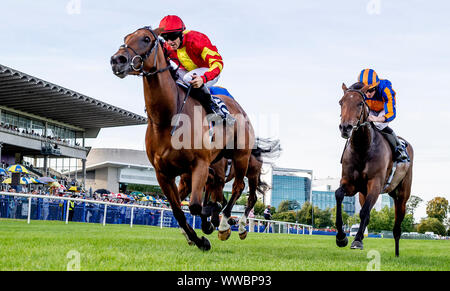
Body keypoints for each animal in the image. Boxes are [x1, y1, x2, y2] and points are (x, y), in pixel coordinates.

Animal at [111, 26, 255, 252]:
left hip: (241, 156)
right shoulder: (164, 173)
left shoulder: (200, 164)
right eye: (126, 38)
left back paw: (226, 224)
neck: (167, 118)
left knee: (238, 188)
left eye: (146, 39)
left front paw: (209, 226)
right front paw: (199, 238)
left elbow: (196, 205)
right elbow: (178, 210)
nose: (117, 59)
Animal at [336, 82, 414, 258]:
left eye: (360, 103)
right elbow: (339, 195)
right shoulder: (351, 184)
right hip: (362, 194)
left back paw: (397, 254)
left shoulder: (376, 184)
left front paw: (357, 241)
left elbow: (364, 212)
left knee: (397, 227)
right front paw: (341, 238)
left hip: (402, 196)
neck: (362, 148)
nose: (345, 127)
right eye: (341, 102)